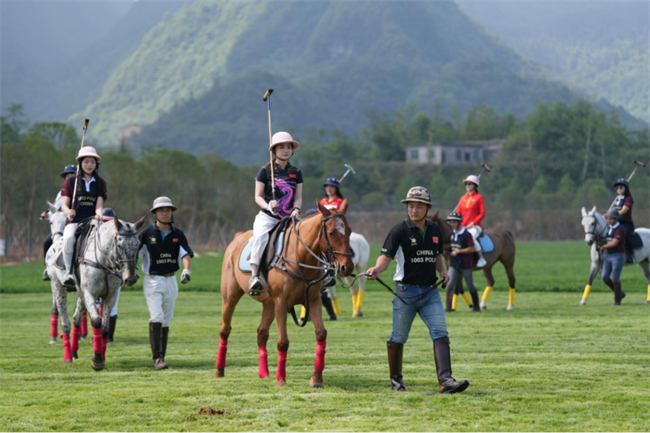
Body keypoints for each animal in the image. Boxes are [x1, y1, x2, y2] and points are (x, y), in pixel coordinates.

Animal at [47, 213, 144, 368]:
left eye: (137, 245)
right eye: (120, 245)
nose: (130, 278)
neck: (104, 262)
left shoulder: (111, 296)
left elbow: (104, 328)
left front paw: (102, 358)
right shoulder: (90, 293)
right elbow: (96, 322)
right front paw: (97, 360)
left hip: (80, 294)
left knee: (76, 318)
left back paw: (74, 351)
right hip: (57, 288)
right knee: (65, 323)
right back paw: (67, 356)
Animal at [215, 201, 352, 386]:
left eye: (349, 231)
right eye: (331, 233)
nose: (347, 267)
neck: (300, 258)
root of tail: (237, 237)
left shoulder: (313, 300)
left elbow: (321, 334)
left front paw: (316, 378)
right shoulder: (281, 301)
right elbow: (283, 342)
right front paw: (281, 380)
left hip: (269, 304)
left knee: (262, 333)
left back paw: (264, 373)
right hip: (230, 295)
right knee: (225, 329)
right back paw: (219, 371)